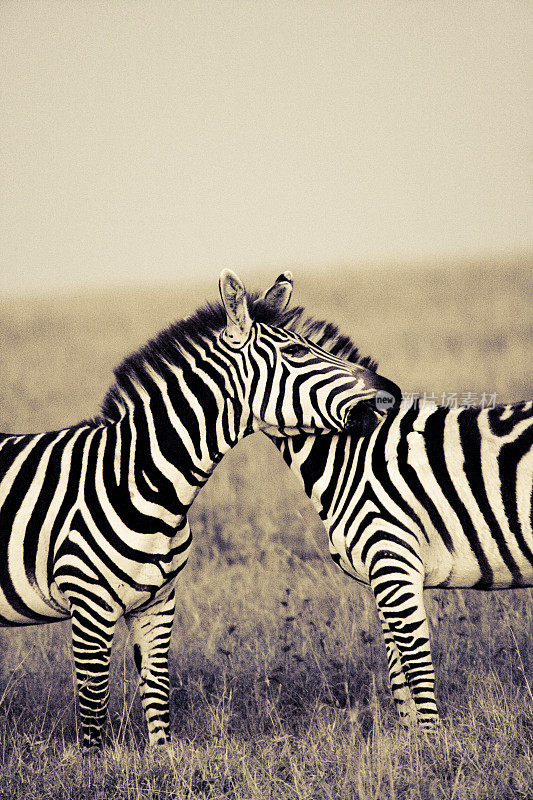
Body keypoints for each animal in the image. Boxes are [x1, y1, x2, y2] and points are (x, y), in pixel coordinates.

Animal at [0, 270, 400, 752]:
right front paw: (91, 765)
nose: (393, 394)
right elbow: (93, 712)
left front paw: (163, 762)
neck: (141, 480)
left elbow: (157, 695)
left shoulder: (157, 602)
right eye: (297, 352)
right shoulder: (89, 606)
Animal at [256, 276, 528, 732]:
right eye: (295, 352)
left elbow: (416, 671)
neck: (353, 455)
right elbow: (397, 675)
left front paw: (432, 746)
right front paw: (410, 743)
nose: (390, 391)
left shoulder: (394, 563)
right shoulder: (382, 576)